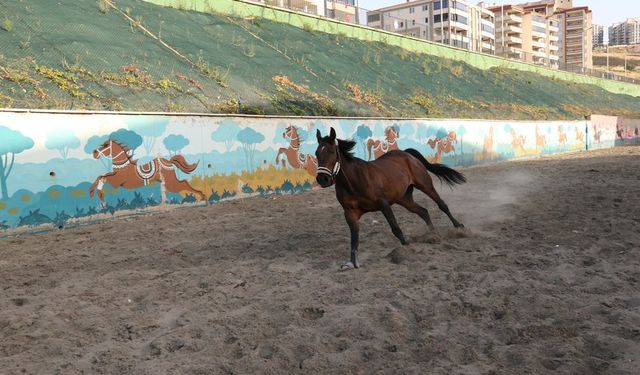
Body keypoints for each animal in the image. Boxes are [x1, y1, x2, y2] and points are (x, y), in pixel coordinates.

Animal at [316, 129, 464, 270]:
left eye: (331, 151)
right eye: (317, 153)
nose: (322, 179)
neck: (354, 181)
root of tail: (406, 154)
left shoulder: (384, 204)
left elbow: (395, 228)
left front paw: (407, 246)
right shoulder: (350, 213)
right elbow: (354, 239)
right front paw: (352, 263)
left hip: (425, 185)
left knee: (442, 205)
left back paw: (459, 227)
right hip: (404, 199)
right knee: (423, 211)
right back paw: (433, 235)